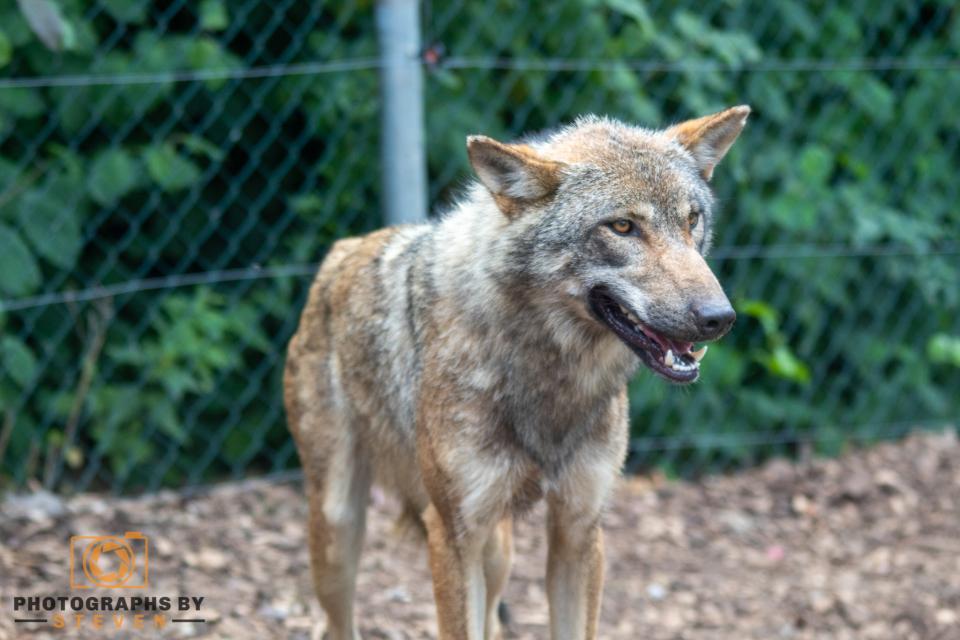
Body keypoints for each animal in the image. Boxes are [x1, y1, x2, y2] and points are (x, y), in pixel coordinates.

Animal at [284, 105, 750, 640]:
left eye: (692, 220)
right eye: (622, 227)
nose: (719, 318)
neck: (549, 374)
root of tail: (338, 254)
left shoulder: (579, 529)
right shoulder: (454, 534)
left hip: (499, 551)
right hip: (340, 528)